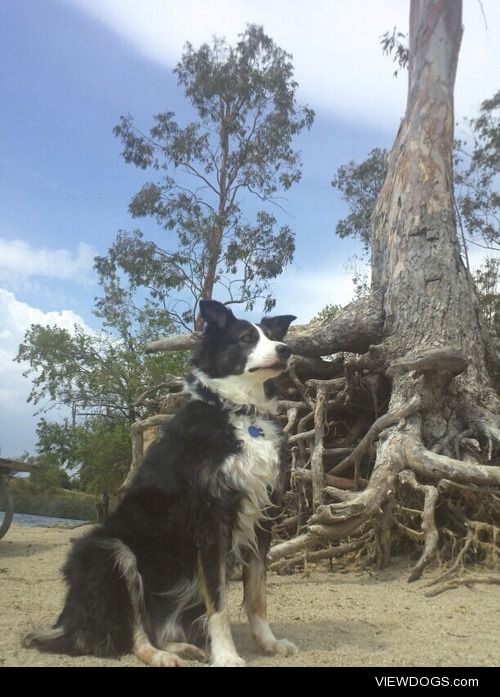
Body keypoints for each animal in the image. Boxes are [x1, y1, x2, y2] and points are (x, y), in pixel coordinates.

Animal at [24, 300, 296, 668]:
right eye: (246, 338)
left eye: (272, 335)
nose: (286, 350)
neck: (241, 411)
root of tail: (68, 622)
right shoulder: (212, 522)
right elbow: (218, 603)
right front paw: (227, 655)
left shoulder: (261, 518)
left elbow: (257, 595)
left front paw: (269, 643)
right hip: (107, 550)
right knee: (133, 633)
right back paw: (161, 655)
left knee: (153, 627)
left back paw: (182, 647)